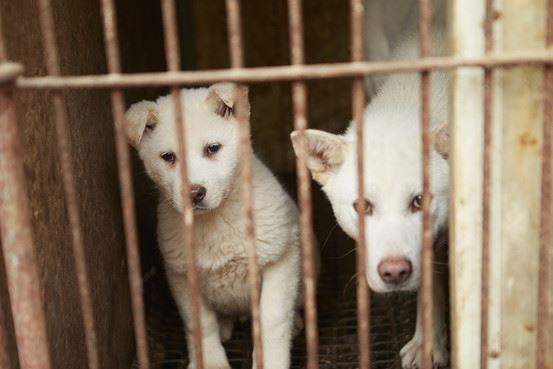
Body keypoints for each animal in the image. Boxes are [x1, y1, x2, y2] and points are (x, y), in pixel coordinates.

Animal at [124, 82, 302, 368]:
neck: (215, 220)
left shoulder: (280, 260)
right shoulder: (183, 275)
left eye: (212, 148)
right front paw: (210, 361)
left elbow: (272, 321)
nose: (194, 193)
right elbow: (200, 325)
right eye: (168, 157)